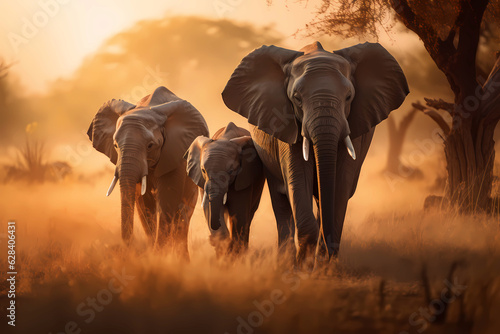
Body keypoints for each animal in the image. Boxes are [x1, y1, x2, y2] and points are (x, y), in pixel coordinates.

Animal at [88, 85, 209, 256]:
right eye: (115, 145)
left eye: (150, 145)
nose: (127, 249)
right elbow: (143, 204)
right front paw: (154, 254)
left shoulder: (174, 154)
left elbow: (167, 200)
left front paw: (160, 255)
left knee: (183, 215)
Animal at [185, 121, 266, 254]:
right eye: (203, 170)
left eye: (231, 171)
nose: (210, 240)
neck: (224, 138)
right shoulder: (202, 180)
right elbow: (208, 207)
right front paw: (223, 248)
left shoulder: (244, 176)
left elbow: (239, 212)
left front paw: (233, 253)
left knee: (250, 213)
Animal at [224, 41, 410, 264]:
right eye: (296, 98)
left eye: (349, 97)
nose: (326, 257)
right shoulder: (286, 124)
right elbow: (297, 180)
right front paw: (302, 266)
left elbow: (340, 186)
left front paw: (324, 267)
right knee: (281, 201)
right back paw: (285, 262)